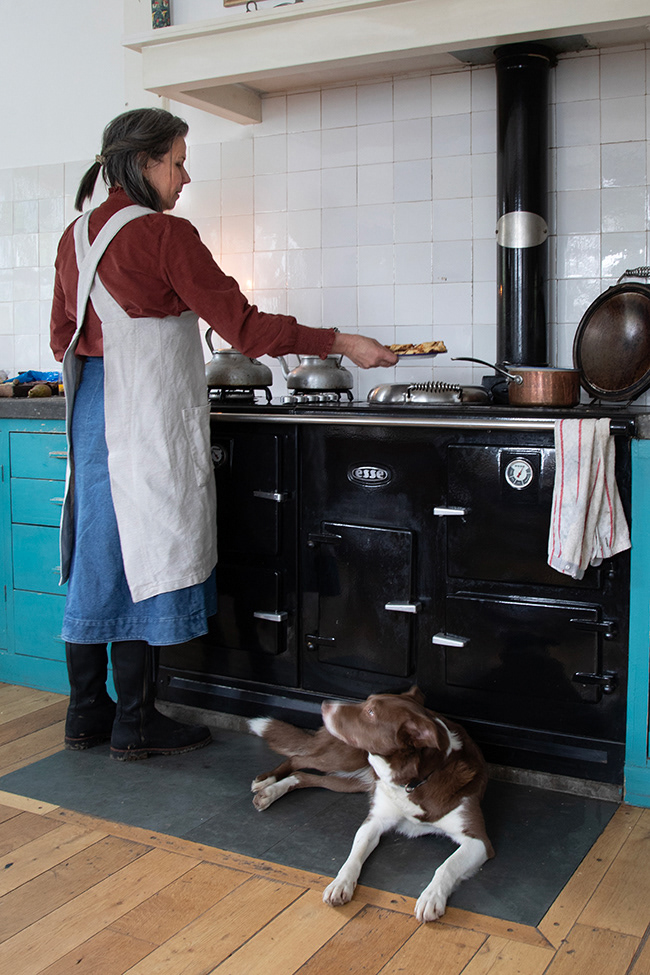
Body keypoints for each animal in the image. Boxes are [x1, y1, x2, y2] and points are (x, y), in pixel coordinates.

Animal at [250, 686, 493, 923]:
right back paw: (267, 782)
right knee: (299, 759)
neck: (415, 781)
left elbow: (447, 866)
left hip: (350, 781)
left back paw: (270, 792)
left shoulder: (477, 840)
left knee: (303, 775)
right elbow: (355, 854)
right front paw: (340, 883)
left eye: (371, 713)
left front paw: (431, 898)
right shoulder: (375, 821)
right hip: (344, 759)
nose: (325, 704)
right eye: (367, 702)